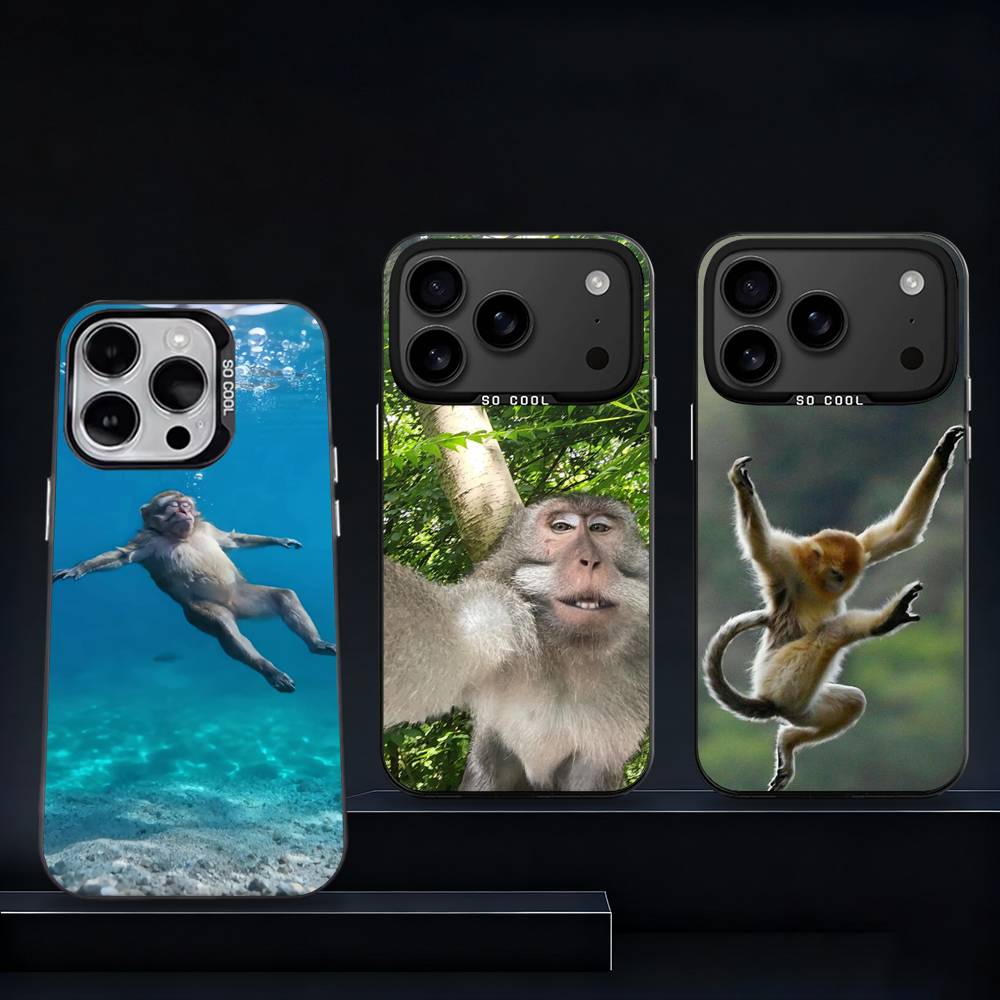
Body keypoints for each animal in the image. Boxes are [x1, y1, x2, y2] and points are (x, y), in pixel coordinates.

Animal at [53, 490, 335, 693]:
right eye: (171, 506)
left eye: (185, 505)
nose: (182, 510)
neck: (182, 536)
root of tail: (234, 607)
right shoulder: (146, 542)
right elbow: (120, 557)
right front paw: (78, 569)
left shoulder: (206, 528)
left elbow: (233, 540)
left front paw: (281, 540)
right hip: (198, 611)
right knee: (223, 626)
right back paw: (270, 671)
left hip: (243, 597)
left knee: (283, 595)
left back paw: (316, 644)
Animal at [703, 425, 965, 791]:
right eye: (837, 574)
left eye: (848, 576)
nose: (842, 586)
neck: (813, 580)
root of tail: (771, 701)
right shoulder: (788, 563)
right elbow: (761, 547)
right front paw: (741, 484)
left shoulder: (861, 550)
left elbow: (902, 534)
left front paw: (943, 452)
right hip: (780, 680)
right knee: (832, 634)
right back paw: (887, 619)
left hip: (805, 703)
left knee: (852, 701)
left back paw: (789, 741)